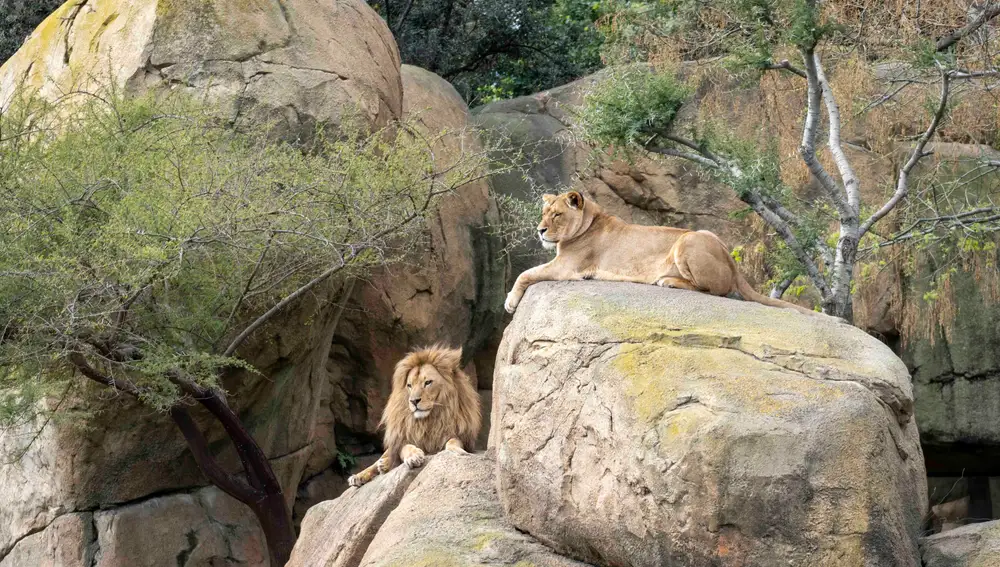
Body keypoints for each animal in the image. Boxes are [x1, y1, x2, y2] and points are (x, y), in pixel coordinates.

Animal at [347, 345, 481, 488]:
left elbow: (453, 442)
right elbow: (406, 448)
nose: (413, 401)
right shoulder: (403, 438)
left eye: (428, 382)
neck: (430, 419)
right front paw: (414, 457)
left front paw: (457, 451)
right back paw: (362, 475)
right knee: (379, 459)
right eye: (409, 385)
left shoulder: (460, 436)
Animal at [504, 190, 817, 316]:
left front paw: (510, 303)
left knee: (714, 290)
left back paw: (667, 281)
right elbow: (527, 273)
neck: (589, 220)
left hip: (688, 241)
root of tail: (731, 261)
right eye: (543, 213)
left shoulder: (567, 267)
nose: (540, 230)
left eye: (556, 215)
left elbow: (524, 274)